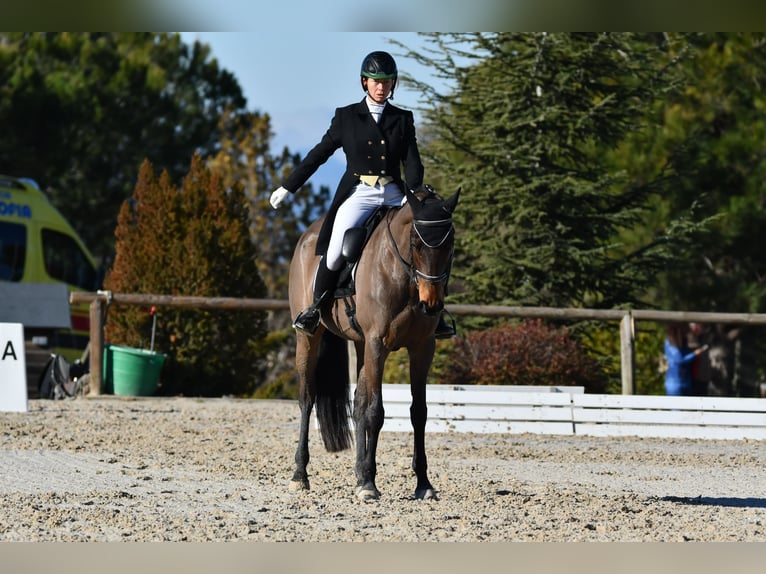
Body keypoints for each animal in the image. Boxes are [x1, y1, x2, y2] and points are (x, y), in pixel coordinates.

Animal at [284, 187, 460, 502]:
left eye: (450, 242)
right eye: (416, 243)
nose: (431, 305)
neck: (401, 273)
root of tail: (307, 235)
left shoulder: (422, 348)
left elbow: (418, 413)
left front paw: (423, 483)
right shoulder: (378, 343)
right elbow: (376, 412)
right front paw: (369, 484)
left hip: (361, 343)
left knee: (358, 404)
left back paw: (357, 473)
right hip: (309, 338)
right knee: (307, 398)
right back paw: (300, 475)